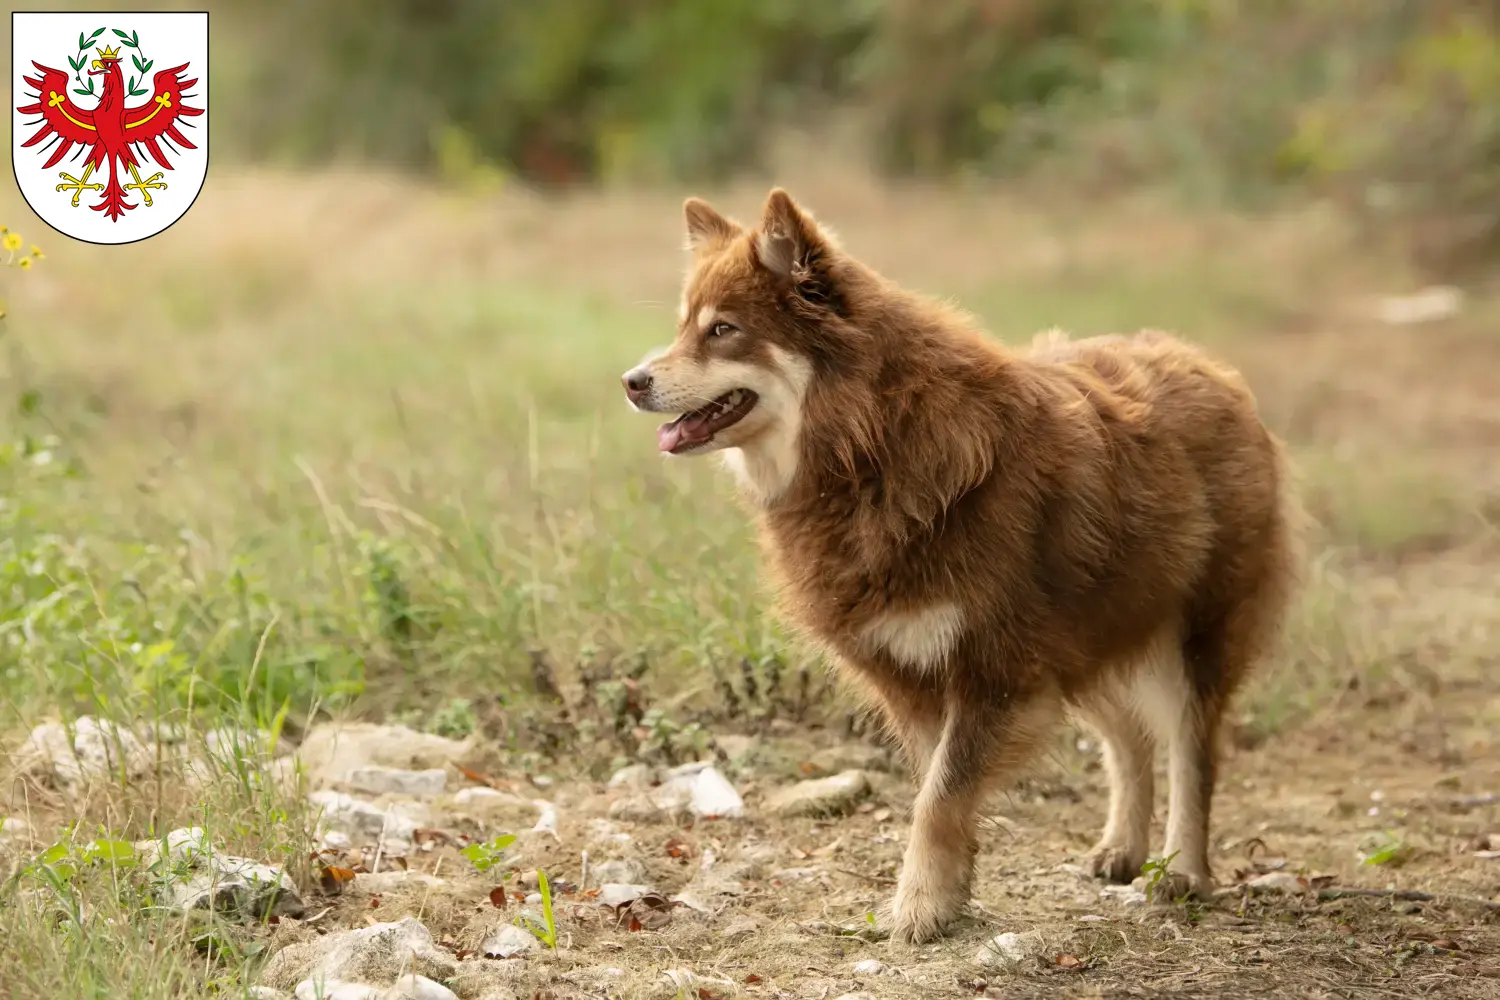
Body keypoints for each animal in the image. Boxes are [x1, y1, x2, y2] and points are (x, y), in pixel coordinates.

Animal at [621, 189, 1302, 947]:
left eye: (723, 330)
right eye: (684, 327)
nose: (632, 381)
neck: (870, 448)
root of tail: (1208, 365)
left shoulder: (995, 669)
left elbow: (940, 796)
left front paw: (921, 905)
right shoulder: (919, 674)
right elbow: (936, 787)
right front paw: (950, 893)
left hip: (1188, 639)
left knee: (1192, 752)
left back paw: (1183, 871)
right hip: (1087, 635)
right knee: (1128, 740)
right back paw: (1122, 850)